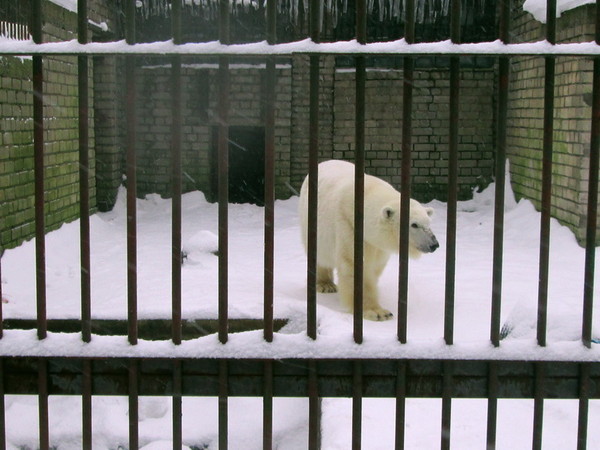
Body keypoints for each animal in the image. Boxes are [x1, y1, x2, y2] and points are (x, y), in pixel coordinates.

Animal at [298, 160, 438, 322]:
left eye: (428, 223)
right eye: (414, 224)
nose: (434, 244)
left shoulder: (377, 245)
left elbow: (374, 267)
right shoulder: (348, 226)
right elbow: (356, 266)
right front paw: (378, 312)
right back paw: (326, 285)